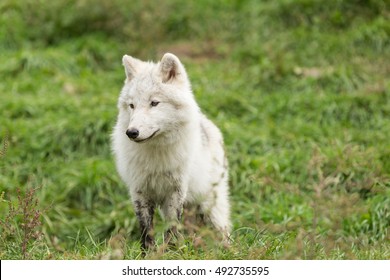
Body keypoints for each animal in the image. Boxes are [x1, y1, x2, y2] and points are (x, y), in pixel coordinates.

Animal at [111, 52, 230, 249]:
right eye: (132, 105)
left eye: (154, 103)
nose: (131, 132)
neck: (156, 154)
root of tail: (208, 124)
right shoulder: (139, 191)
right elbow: (146, 231)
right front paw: (149, 253)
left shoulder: (176, 191)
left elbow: (172, 227)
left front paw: (172, 251)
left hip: (210, 207)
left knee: (224, 232)